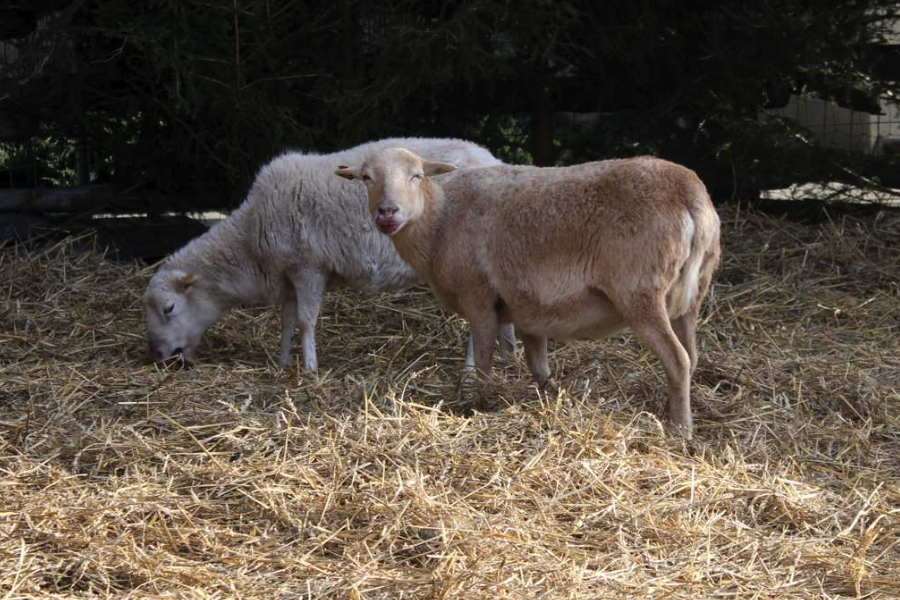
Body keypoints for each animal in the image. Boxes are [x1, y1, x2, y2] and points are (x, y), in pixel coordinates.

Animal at [145, 138, 516, 368]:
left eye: (169, 308)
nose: (158, 356)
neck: (249, 239)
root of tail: (495, 160)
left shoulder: (308, 266)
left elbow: (306, 321)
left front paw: (309, 368)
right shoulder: (289, 276)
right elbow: (286, 321)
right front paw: (282, 362)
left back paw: (472, 367)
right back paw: (508, 358)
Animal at [338, 147, 724, 434]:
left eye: (416, 176)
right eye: (367, 178)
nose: (387, 212)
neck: (440, 219)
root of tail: (689, 194)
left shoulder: (478, 297)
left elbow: (483, 362)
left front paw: (479, 405)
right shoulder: (529, 310)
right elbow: (539, 368)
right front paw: (551, 401)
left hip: (641, 292)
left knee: (677, 359)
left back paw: (680, 431)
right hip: (692, 294)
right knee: (691, 357)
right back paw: (673, 408)